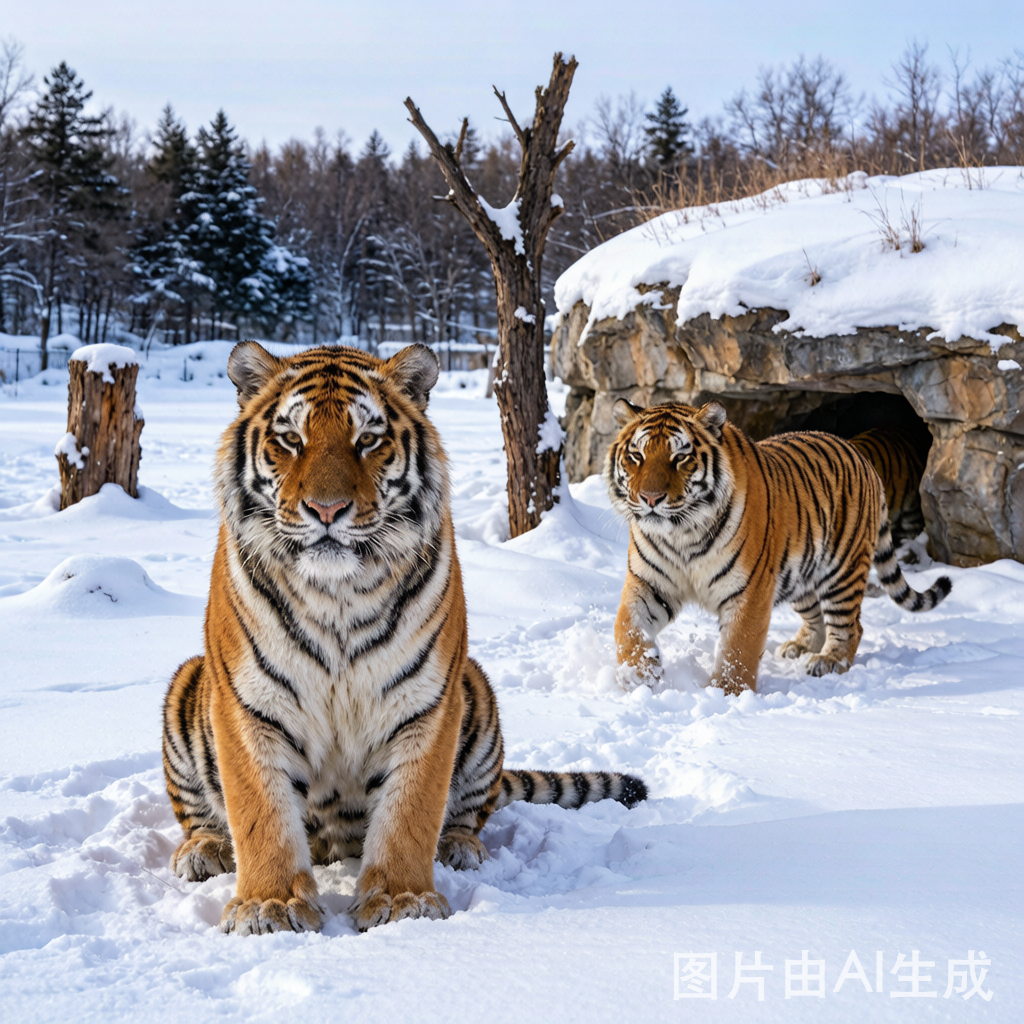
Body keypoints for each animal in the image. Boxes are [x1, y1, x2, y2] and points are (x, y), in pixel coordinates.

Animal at [162, 341, 646, 937]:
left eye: (368, 439)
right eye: (291, 439)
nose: (326, 510)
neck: (337, 594)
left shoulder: (427, 702)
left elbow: (411, 811)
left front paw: (401, 901)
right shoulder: (249, 704)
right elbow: (260, 813)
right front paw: (268, 906)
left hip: (476, 690)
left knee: (470, 812)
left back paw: (460, 847)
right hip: (189, 682)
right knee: (200, 816)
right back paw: (205, 850)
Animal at [605, 400, 951, 694]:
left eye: (680, 458)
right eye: (636, 456)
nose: (650, 498)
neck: (680, 534)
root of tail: (861, 456)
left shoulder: (750, 590)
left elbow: (737, 648)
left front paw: (726, 694)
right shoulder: (649, 583)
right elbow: (626, 626)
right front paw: (638, 675)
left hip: (843, 572)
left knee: (851, 626)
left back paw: (828, 661)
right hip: (800, 577)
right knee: (817, 618)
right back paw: (799, 647)